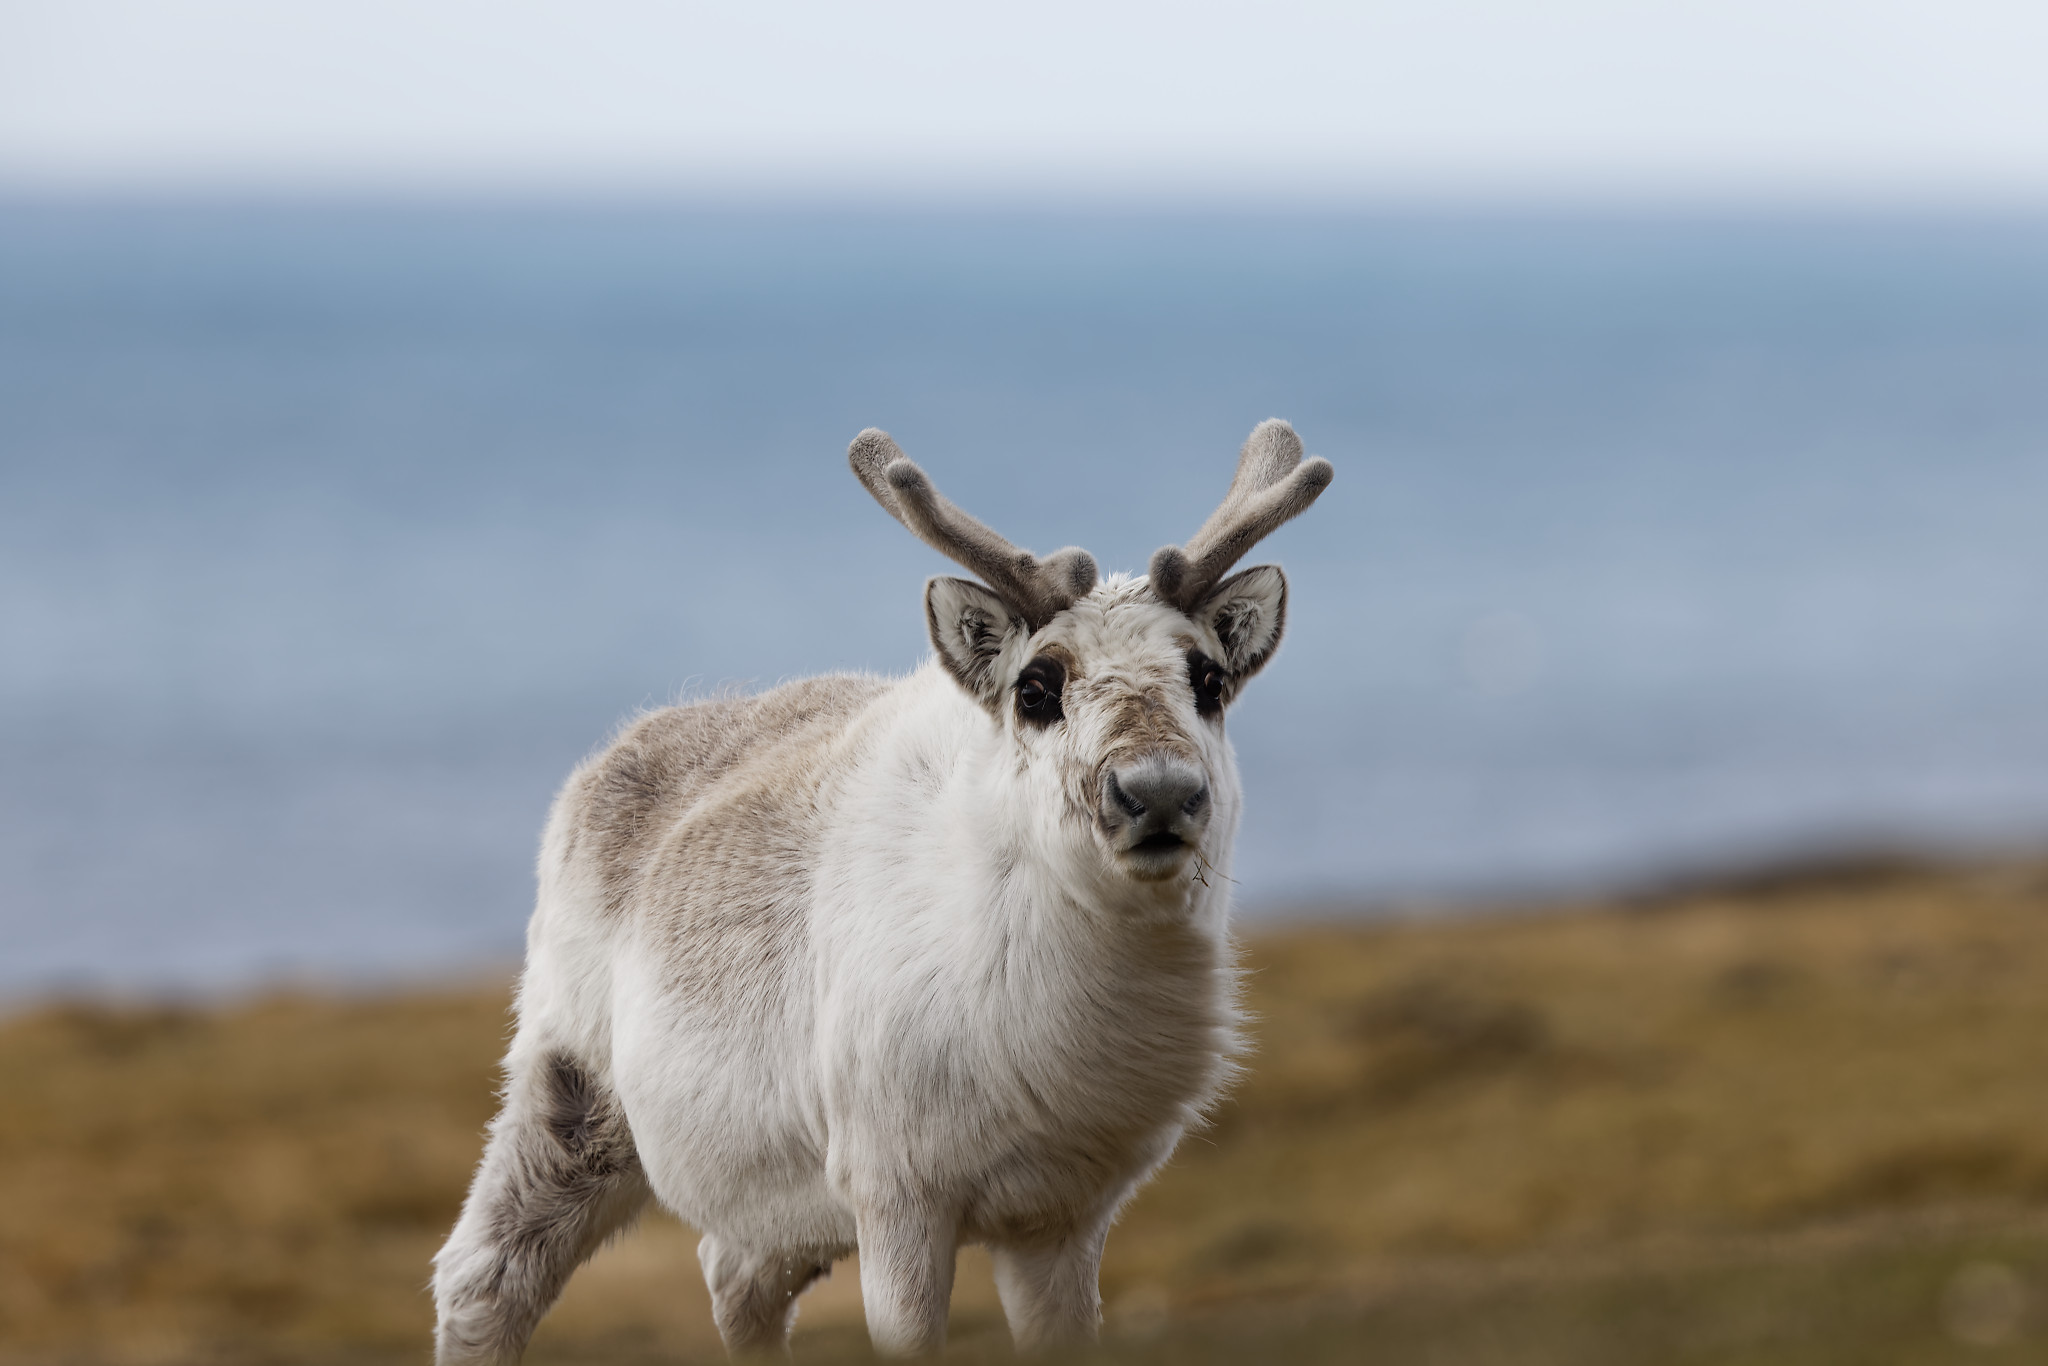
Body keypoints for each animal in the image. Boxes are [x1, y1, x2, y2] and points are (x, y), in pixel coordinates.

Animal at [432, 420, 1333, 1359]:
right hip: (567, 1088)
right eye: (1037, 687)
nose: (1156, 793)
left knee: (730, 1274)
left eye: (1210, 679)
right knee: (480, 1280)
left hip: (774, 1208)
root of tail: (598, 769)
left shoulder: (1062, 1216)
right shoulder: (896, 1193)